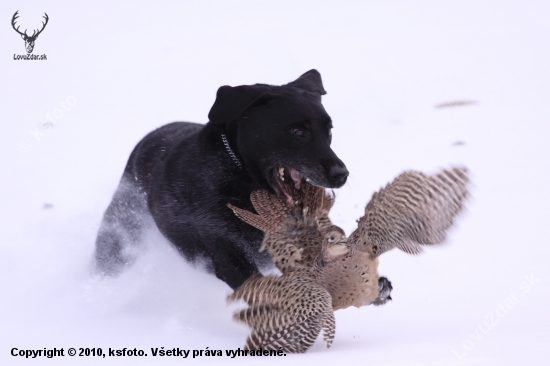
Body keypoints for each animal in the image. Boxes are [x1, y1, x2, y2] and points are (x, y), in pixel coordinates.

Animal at [95, 71, 350, 288]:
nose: (341, 174)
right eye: (299, 132)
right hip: (120, 232)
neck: (241, 177)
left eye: (329, 130)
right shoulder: (226, 250)